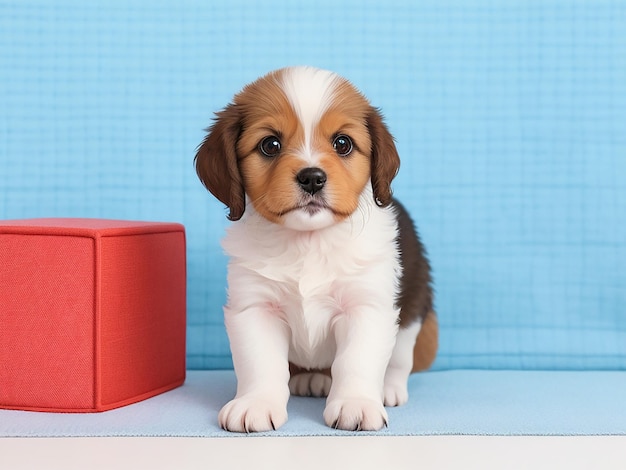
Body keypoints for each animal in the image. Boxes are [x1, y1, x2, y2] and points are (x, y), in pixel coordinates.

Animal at [194, 67, 434, 434]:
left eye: (342, 143)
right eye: (270, 144)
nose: (312, 178)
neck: (307, 242)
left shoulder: (366, 307)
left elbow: (356, 361)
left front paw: (356, 403)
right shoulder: (255, 307)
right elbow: (260, 363)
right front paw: (256, 403)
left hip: (412, 311)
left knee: (399, 358)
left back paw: (388, 389)